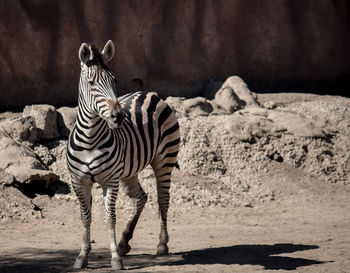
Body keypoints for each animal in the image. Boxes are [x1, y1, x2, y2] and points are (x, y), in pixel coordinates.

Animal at [66, 41, 180, 270]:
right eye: (91, 83)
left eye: (115, 81)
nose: (118, 116)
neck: (90, 139)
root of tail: (149, 93)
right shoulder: (78, 181)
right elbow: (85, 217)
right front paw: (82, 256)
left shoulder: (110, 180)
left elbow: (110, 217)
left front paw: (115, 258)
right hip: (128, 172)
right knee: (141, 197)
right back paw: (124, 241)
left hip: (164, 161)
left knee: (163, 199)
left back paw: (162, 244)